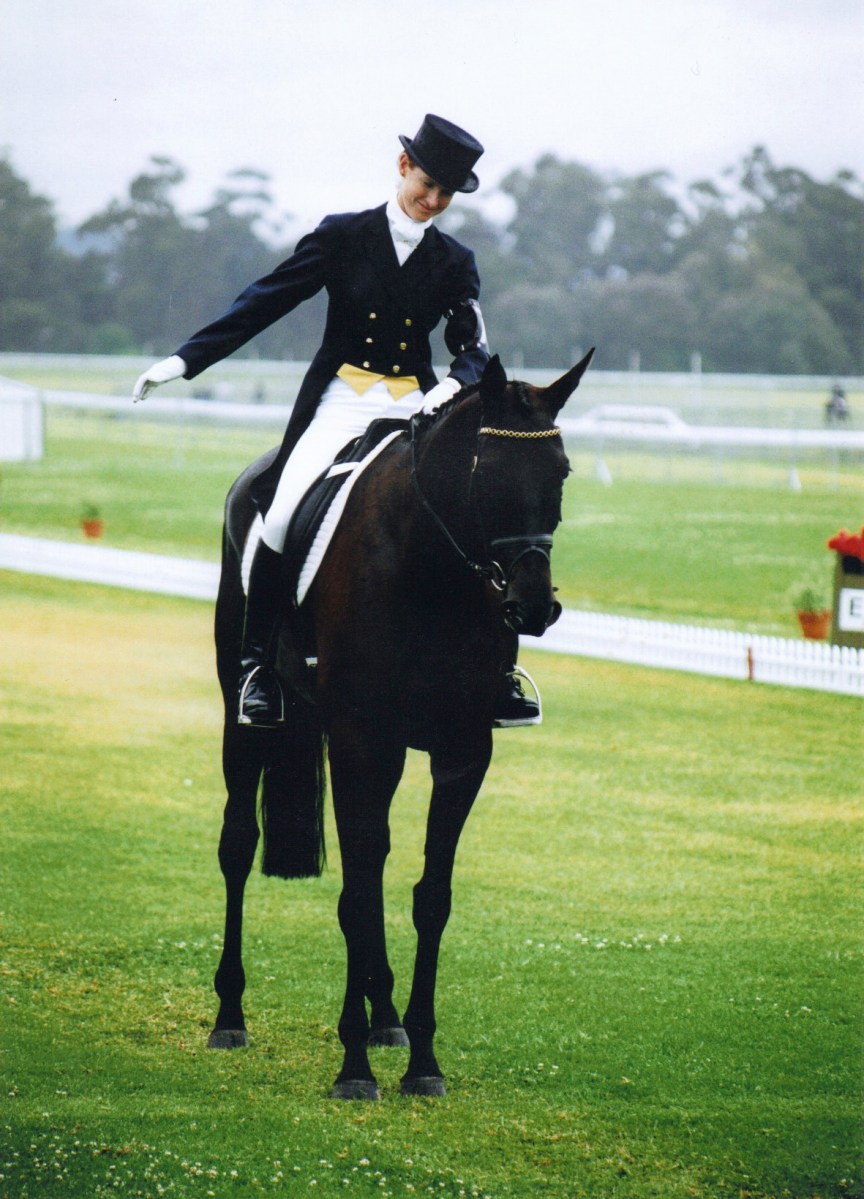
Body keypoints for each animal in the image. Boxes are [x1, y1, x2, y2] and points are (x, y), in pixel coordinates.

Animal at [209, 350, 594, 1099]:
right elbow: (356, 896)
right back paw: (229, 1015)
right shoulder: (363, 739)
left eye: (560, 471)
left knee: (376, 867)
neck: (432, 570)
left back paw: (386, 1017)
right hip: (246, 721)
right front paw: (354, 1068)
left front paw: (422, 1061)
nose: (534, 607)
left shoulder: (462, 749)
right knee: (239, 845)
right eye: (486, 470)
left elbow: (426, 896)